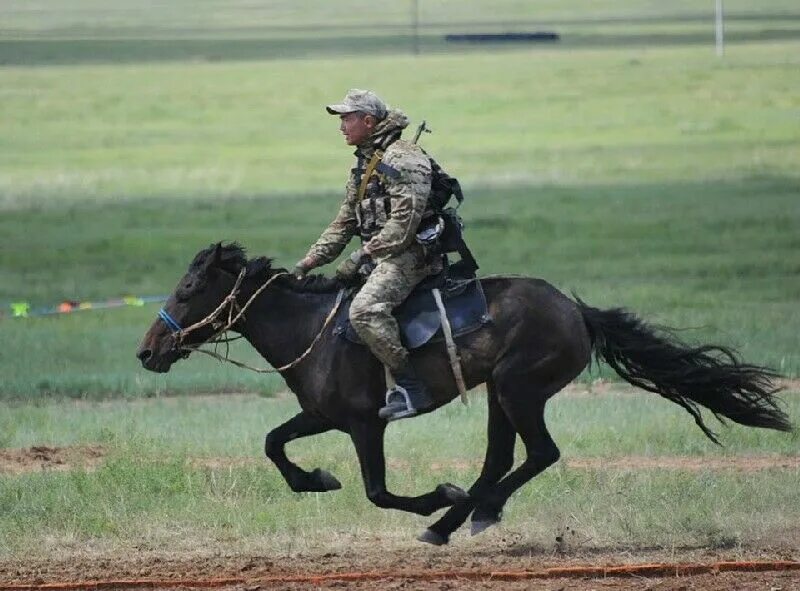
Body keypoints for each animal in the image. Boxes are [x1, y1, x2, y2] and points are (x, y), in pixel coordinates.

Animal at [134, 244, 792, 544]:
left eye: (188, 289)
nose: (147, 352)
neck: (312, 328)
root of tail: (575, 311)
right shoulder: (321, 415)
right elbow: (274, 444)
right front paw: (316, 479)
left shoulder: (366, 424)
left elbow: (377, 491)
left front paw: (433, 497)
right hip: (503, 394)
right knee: (502, 459)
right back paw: (466, 515)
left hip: (519, 388)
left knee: (538, 454)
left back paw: (459, 514)